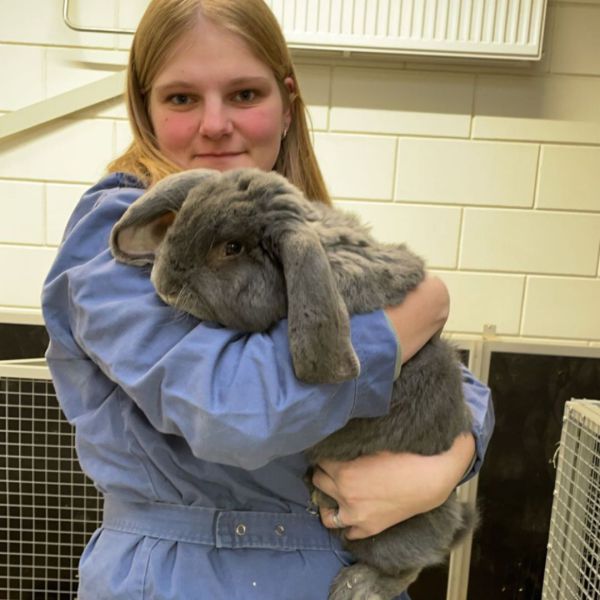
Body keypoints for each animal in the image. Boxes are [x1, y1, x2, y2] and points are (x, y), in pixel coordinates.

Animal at [110, 165, 476, 600]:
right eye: (182, 218)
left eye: (231, 247)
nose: (164, 282)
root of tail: (456, 522)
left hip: (387, 536)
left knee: (405, 568)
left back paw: (355, 586)